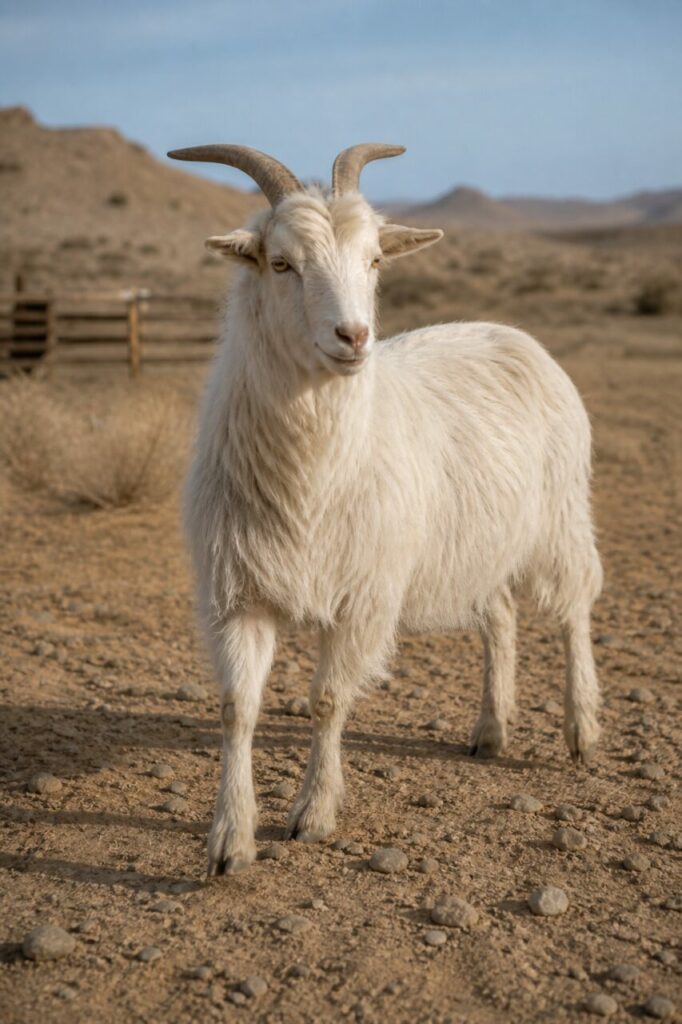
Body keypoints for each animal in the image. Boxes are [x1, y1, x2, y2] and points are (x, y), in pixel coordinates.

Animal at [168, 141, 603, 876]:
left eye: (373, 260)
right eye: (281, 263)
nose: (353, 336)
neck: (313, 473)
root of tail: (508, 331)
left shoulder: (363, 596)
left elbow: (327, 700)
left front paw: (313, 813)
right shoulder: (238, 593)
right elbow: (237, 708)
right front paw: (229, 839)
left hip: (561, 517)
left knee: (573, 611)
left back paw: (581, 729)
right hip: (479, 540)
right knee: (501, 617)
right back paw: (491, 729)